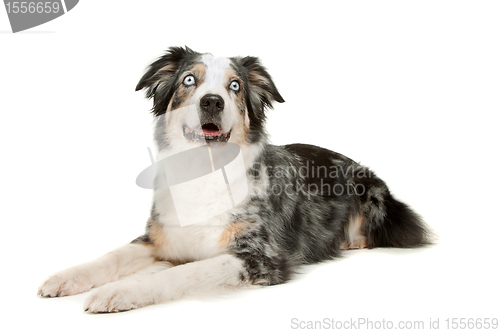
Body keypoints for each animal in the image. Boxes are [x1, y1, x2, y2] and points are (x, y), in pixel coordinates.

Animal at [38, 46, 430, 312]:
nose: (212, 101)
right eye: (189, 80)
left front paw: (119, 291)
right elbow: (111, 257)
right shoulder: (158, 240)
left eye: (236, 86)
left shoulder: (260, 257)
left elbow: (181, 273)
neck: (205, 171)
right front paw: (66, 277)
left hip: (374, 198)